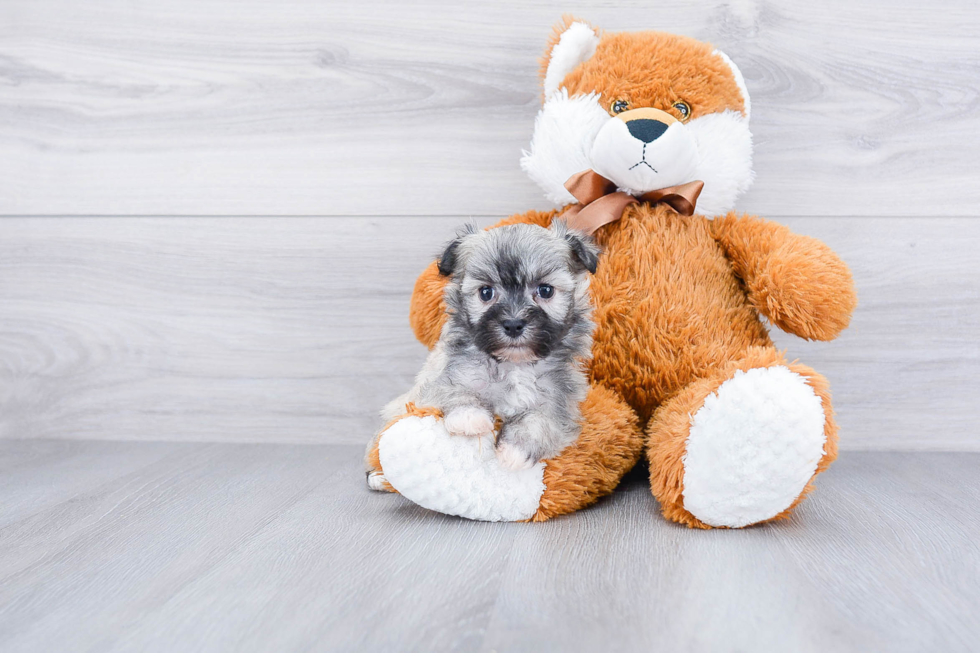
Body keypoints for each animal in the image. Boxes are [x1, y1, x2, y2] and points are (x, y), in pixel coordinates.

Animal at [380, 220, 596, 468]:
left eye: (545, 290)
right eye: (486, 292)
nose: (513, 324)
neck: (514, 365)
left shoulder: (559, 400)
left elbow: (542, 420)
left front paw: (515, 450)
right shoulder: (438, 380)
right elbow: (452, 389)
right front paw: (468, 416)